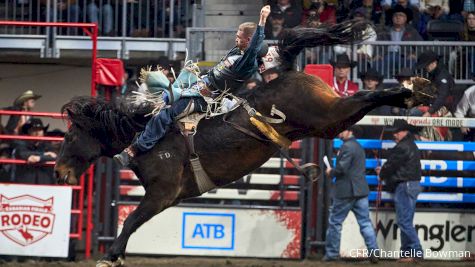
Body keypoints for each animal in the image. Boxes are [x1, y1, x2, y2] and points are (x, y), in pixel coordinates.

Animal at [54, 20, 414, 266]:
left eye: (70, 136)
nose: (58, 173)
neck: (145, 137)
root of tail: (288, 70)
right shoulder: (164, 197)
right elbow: (131, 221)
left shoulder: (162, 194)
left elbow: (129, 220)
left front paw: (110, 256)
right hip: (329, 122)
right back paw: (410, 94)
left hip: (326, 115)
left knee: (364, 97)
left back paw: (411, 91)